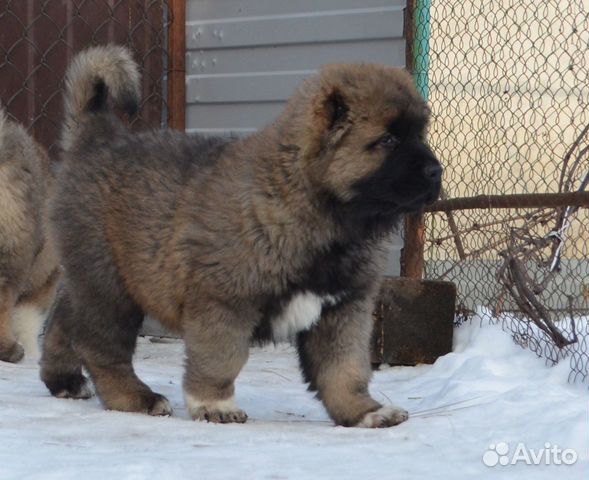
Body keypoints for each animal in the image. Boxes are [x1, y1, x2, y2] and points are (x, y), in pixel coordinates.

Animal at [39, 45, 438, 428]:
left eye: (420, 135)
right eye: (388, 140)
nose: (437, 171)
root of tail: (96, 138)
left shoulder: (343, 309)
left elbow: (345, 369)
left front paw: (365, 411)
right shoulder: (224, 300)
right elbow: (221, 358)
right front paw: (215, 405)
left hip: (89, 277)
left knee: (63, 319)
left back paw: (64, 381)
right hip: (109, 282)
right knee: (101, 345)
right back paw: (136, 398)